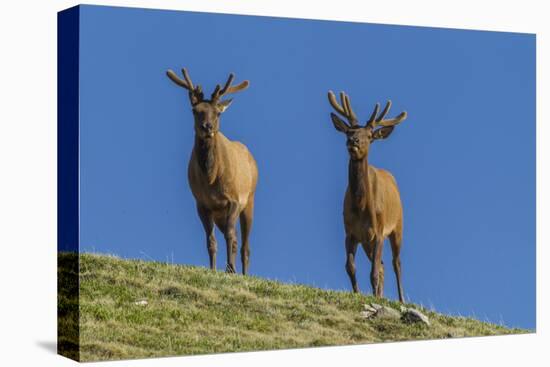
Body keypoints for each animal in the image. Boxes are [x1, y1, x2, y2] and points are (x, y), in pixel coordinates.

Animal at [166, 68, 258, 276]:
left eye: (217, 113)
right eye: (195, 111)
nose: (207, 127)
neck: (211, 178)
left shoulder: (233, 199)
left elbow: (230, 236)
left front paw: (229, 268)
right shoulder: (203, 204)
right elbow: (211, 241)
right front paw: (214, 268)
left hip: (249, 200)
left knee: (245, 245)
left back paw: (243, 273)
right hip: (220, 216)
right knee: (236, 239)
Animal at [328, 90, 410, 304]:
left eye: (370, 136)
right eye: (349, 132)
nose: (353, 142)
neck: (361, 207)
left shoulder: (379, 231)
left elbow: (373, 272)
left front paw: (373, 297)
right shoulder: (351, 233)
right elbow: (350, 267)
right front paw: (358, 294)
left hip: (398, 226)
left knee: (396, 263)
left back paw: (401, 300)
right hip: (367, 242)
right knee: (382, 266)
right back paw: (380, 294)